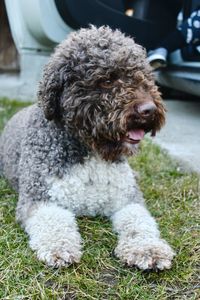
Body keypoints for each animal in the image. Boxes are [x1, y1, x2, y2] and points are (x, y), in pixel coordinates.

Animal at [0, 25, 175, 270]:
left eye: (143, 75)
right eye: (107, 80)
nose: (148, 110)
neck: (92, 152)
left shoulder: (127, 199)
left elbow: (139, 221)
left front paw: (147, 248)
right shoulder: (39, 197)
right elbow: (53, 221)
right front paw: (59, 247)